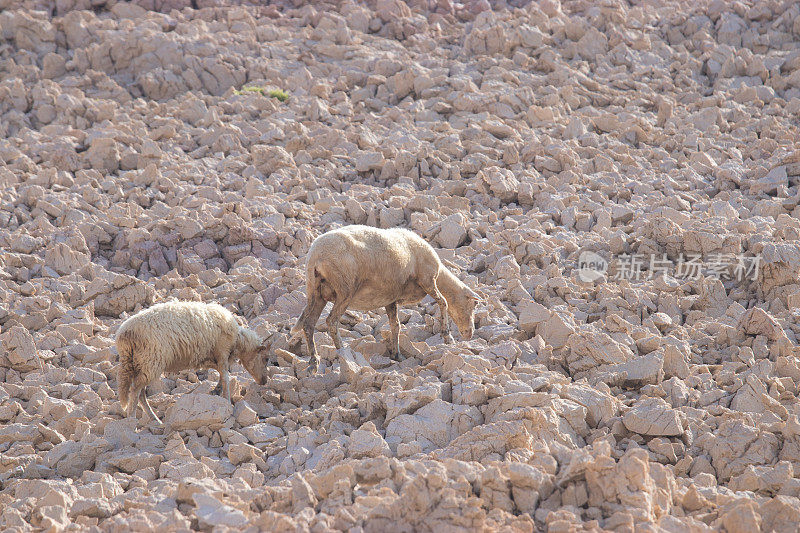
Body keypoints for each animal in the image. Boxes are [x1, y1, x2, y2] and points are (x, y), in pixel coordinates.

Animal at [290, 223, 478, 370]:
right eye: (473, 305)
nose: (469, 334)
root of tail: (315, 256)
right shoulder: (428, 280)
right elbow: (444, 302)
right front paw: (447, 336)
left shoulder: (391, 299)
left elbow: (396, 325)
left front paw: (397, 354)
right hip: (345, 289)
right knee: (331, 321)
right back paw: (342, 351)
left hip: (316, 292)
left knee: (308, 324)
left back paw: (314, 362)